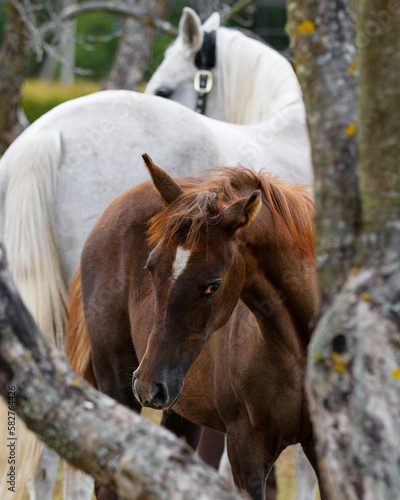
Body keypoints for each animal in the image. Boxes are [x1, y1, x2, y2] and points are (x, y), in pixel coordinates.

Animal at [66, 156, 322, 500]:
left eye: (212, 286)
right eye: (150, 268)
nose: (147, 385)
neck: (295, 352)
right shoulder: (246, 453)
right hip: (116, 382)